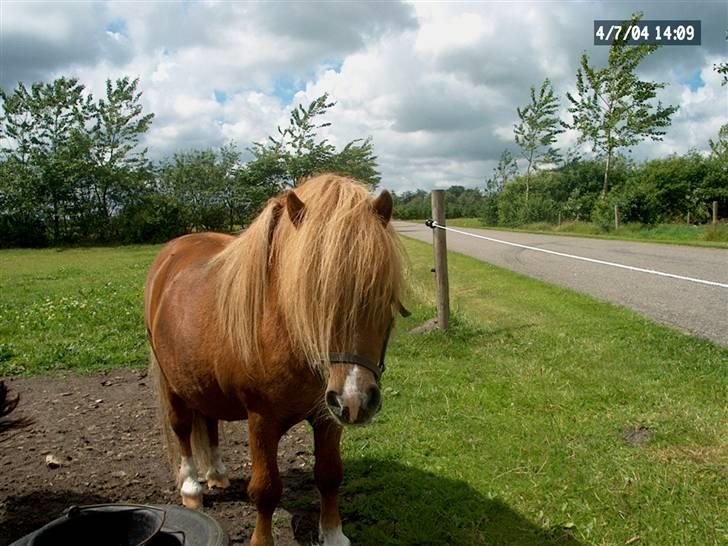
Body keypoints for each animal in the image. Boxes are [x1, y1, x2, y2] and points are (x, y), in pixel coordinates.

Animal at [144, 174, 405, 546]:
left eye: (382, 294)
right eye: (310, 295)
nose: (356, 402)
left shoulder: (327, 416)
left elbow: (329, 475)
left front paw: (333, 534)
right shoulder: (261, 421)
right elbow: (266, 489)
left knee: (209, 422)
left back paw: (216, 474)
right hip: (173, 384)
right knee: (182, 430)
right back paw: (192, 487)